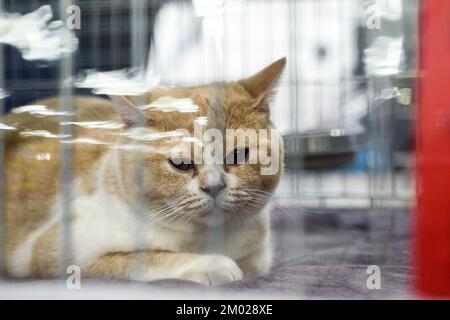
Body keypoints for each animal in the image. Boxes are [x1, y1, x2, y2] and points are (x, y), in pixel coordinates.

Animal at [2, 57, 284, 284]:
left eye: (237, 155)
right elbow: (147, 259)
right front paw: (213, 265)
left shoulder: (258, 252)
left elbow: (253, 263)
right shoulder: (55, 251)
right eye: (181, 164)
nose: (213, 186)